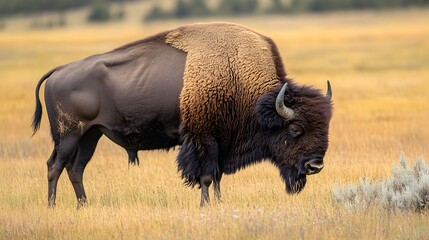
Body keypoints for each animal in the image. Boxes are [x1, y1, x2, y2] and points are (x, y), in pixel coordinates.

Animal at [33, 22, 332, 207]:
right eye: (295, 129)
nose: (315, 166)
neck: (237, 76)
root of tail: (59, 70)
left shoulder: (220, 142)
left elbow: (217, 175)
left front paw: (219, 203)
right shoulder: (204, 139)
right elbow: (206, 176)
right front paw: (206, 205)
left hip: (91, 136)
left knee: (75, 169)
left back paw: (83, 205)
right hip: (69, 135)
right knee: (54, 166)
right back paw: (52, 206)